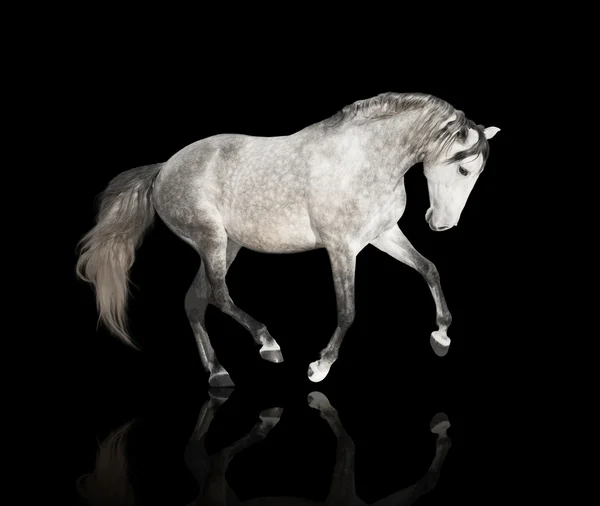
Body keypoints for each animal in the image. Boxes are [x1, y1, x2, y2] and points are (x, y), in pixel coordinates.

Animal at [79, 91, 502, 386]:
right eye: (464, 169)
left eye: (478, 174)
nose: (441, 225)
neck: (365, 159)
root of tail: (164, 167)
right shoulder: (342, 248)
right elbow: (348, 311)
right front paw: (319, 366)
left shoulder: (382, 235)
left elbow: (429, 270)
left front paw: (441, 337)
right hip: (211, 240)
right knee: (218, 295)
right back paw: (268, 344)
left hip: (228, 244)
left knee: (195, 302)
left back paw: (218, 374)